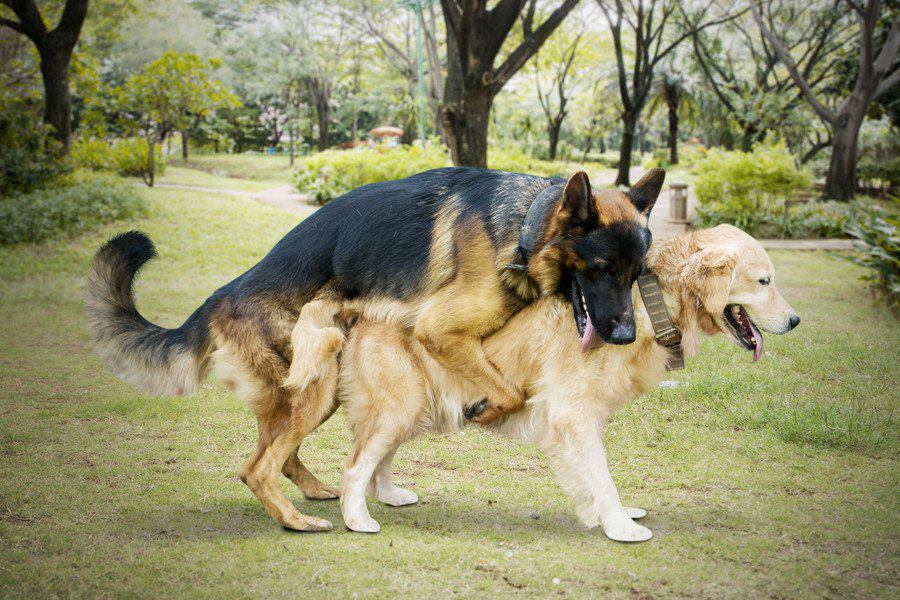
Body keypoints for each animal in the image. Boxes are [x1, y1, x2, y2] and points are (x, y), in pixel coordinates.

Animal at [88, 165, 664, 528]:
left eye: (637, 273)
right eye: (601, 270)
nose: (624, 336)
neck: (523, 227)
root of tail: (218, 297)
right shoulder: (440, 330)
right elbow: (509, 393)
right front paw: (481, 408)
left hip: (317, 391)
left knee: (277, 455)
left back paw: (318, 492)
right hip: (313, 385)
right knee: (257, 466)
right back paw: (298, 521)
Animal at [300, 224, 796, 540]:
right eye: (763, 281)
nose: (795, 321)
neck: (651, 298)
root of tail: (359, 310)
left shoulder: (583, 418)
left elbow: (593, 475)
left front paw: (611, 515)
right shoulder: (574, 413)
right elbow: (601, 476)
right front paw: (622, 527)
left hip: (412, 407)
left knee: (378, 458)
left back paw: (388, 495)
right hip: (400, 406)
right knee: (356, 465)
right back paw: (357, 518)